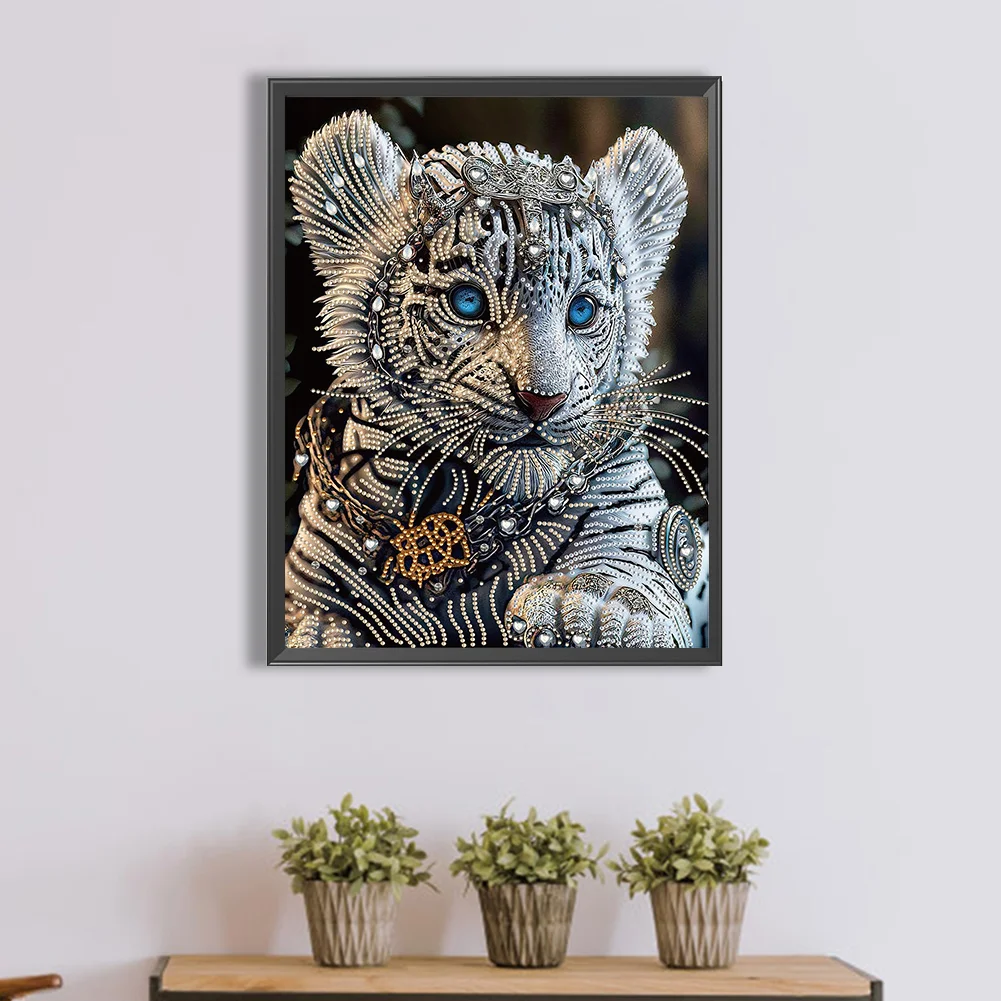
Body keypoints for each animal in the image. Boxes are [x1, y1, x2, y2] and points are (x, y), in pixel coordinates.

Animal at [283, 110, 707, 650]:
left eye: (582, 311)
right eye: (467, 302)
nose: (542, 400)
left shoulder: (633, 529)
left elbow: (626, 576)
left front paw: (588, 609)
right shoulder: (317, 594)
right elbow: (324, 628)